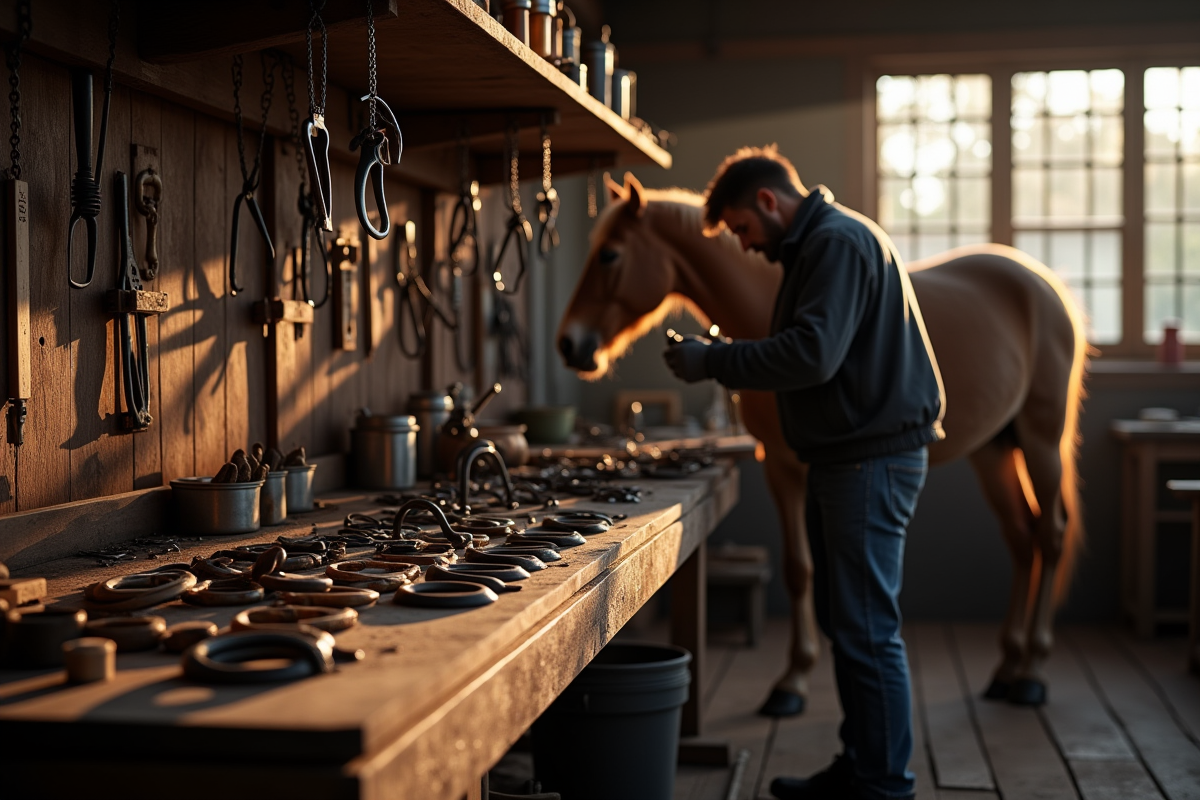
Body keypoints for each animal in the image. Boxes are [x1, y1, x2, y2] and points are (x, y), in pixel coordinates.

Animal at [552, 175, 1089, 714]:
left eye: (609, 255)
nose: (569, 345)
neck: (764, 311)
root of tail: (1043, 284)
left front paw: (798, 679)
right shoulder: (783, 467)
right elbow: (800, 568)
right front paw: (795, 679)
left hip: (1041, 438)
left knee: (1050, 535)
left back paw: (1032, 672)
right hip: (993, 450)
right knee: (1022, 538)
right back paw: (1007, 667)